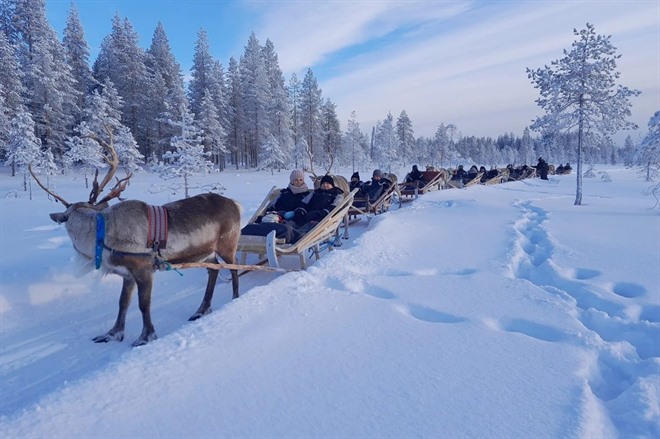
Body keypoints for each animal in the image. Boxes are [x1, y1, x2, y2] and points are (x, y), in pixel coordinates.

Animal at [31, 128, 242, 347]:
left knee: (234, 265)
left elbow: (143, 304)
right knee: (213, 270)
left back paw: (235, 298)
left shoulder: (144, 268)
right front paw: (112, 334)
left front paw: (146, 336)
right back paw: (201, 309)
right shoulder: (126, 274)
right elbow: (123, 303)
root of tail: (235, 204)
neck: (102, 237)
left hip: (227, 243)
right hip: (208, 251)